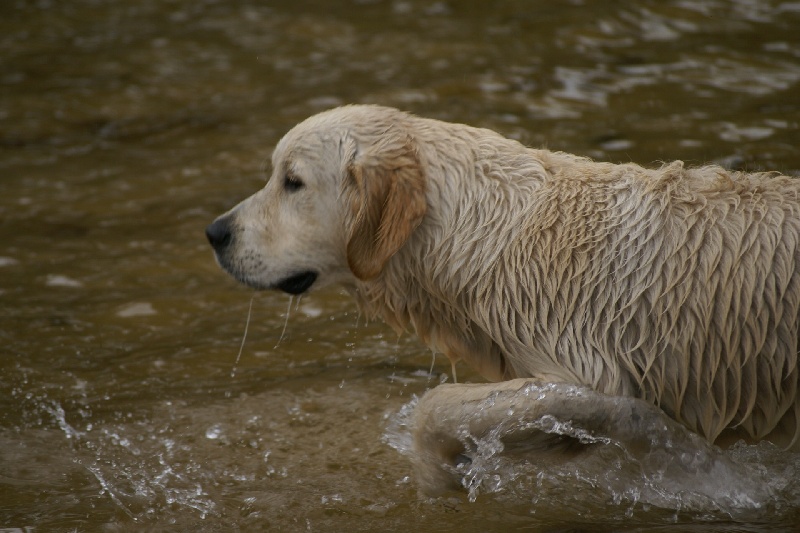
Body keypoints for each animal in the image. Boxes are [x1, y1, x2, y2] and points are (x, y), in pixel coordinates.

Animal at [209, 106, 800, 492]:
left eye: (292, 182)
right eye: (278, 175)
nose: (215, 233)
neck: (485, 233)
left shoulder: (587, 367)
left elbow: (436, 407)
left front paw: (438, 475)